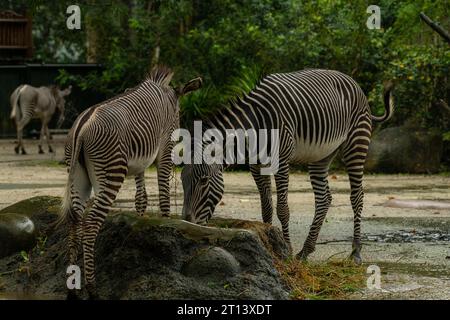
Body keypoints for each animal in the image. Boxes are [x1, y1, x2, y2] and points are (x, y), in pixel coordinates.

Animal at [59, 66, 202, 298]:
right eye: (178, 116)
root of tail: (82, 127)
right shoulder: (165, 148)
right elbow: (163, 194)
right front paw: (166, 228)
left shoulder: (140, 163)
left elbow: (140, 197)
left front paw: (141, 224)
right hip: (111, 173)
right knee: (90, 223)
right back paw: (92, 287)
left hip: (77, 176)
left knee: (75, 221)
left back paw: (72, 288)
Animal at [179, 69, 394, 264]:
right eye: (182, 181)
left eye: (204, 181)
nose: (187, 224)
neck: (256, 126)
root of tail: (351, 80)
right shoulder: (256, 165)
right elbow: (266, 207)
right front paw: (268, 242)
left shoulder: (281, 161)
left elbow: (282, 209)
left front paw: (287, 251)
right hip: (321, 155)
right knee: (324, 199)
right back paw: (306, 251)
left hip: (356, 144)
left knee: (357, 197)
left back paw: (355, 252)